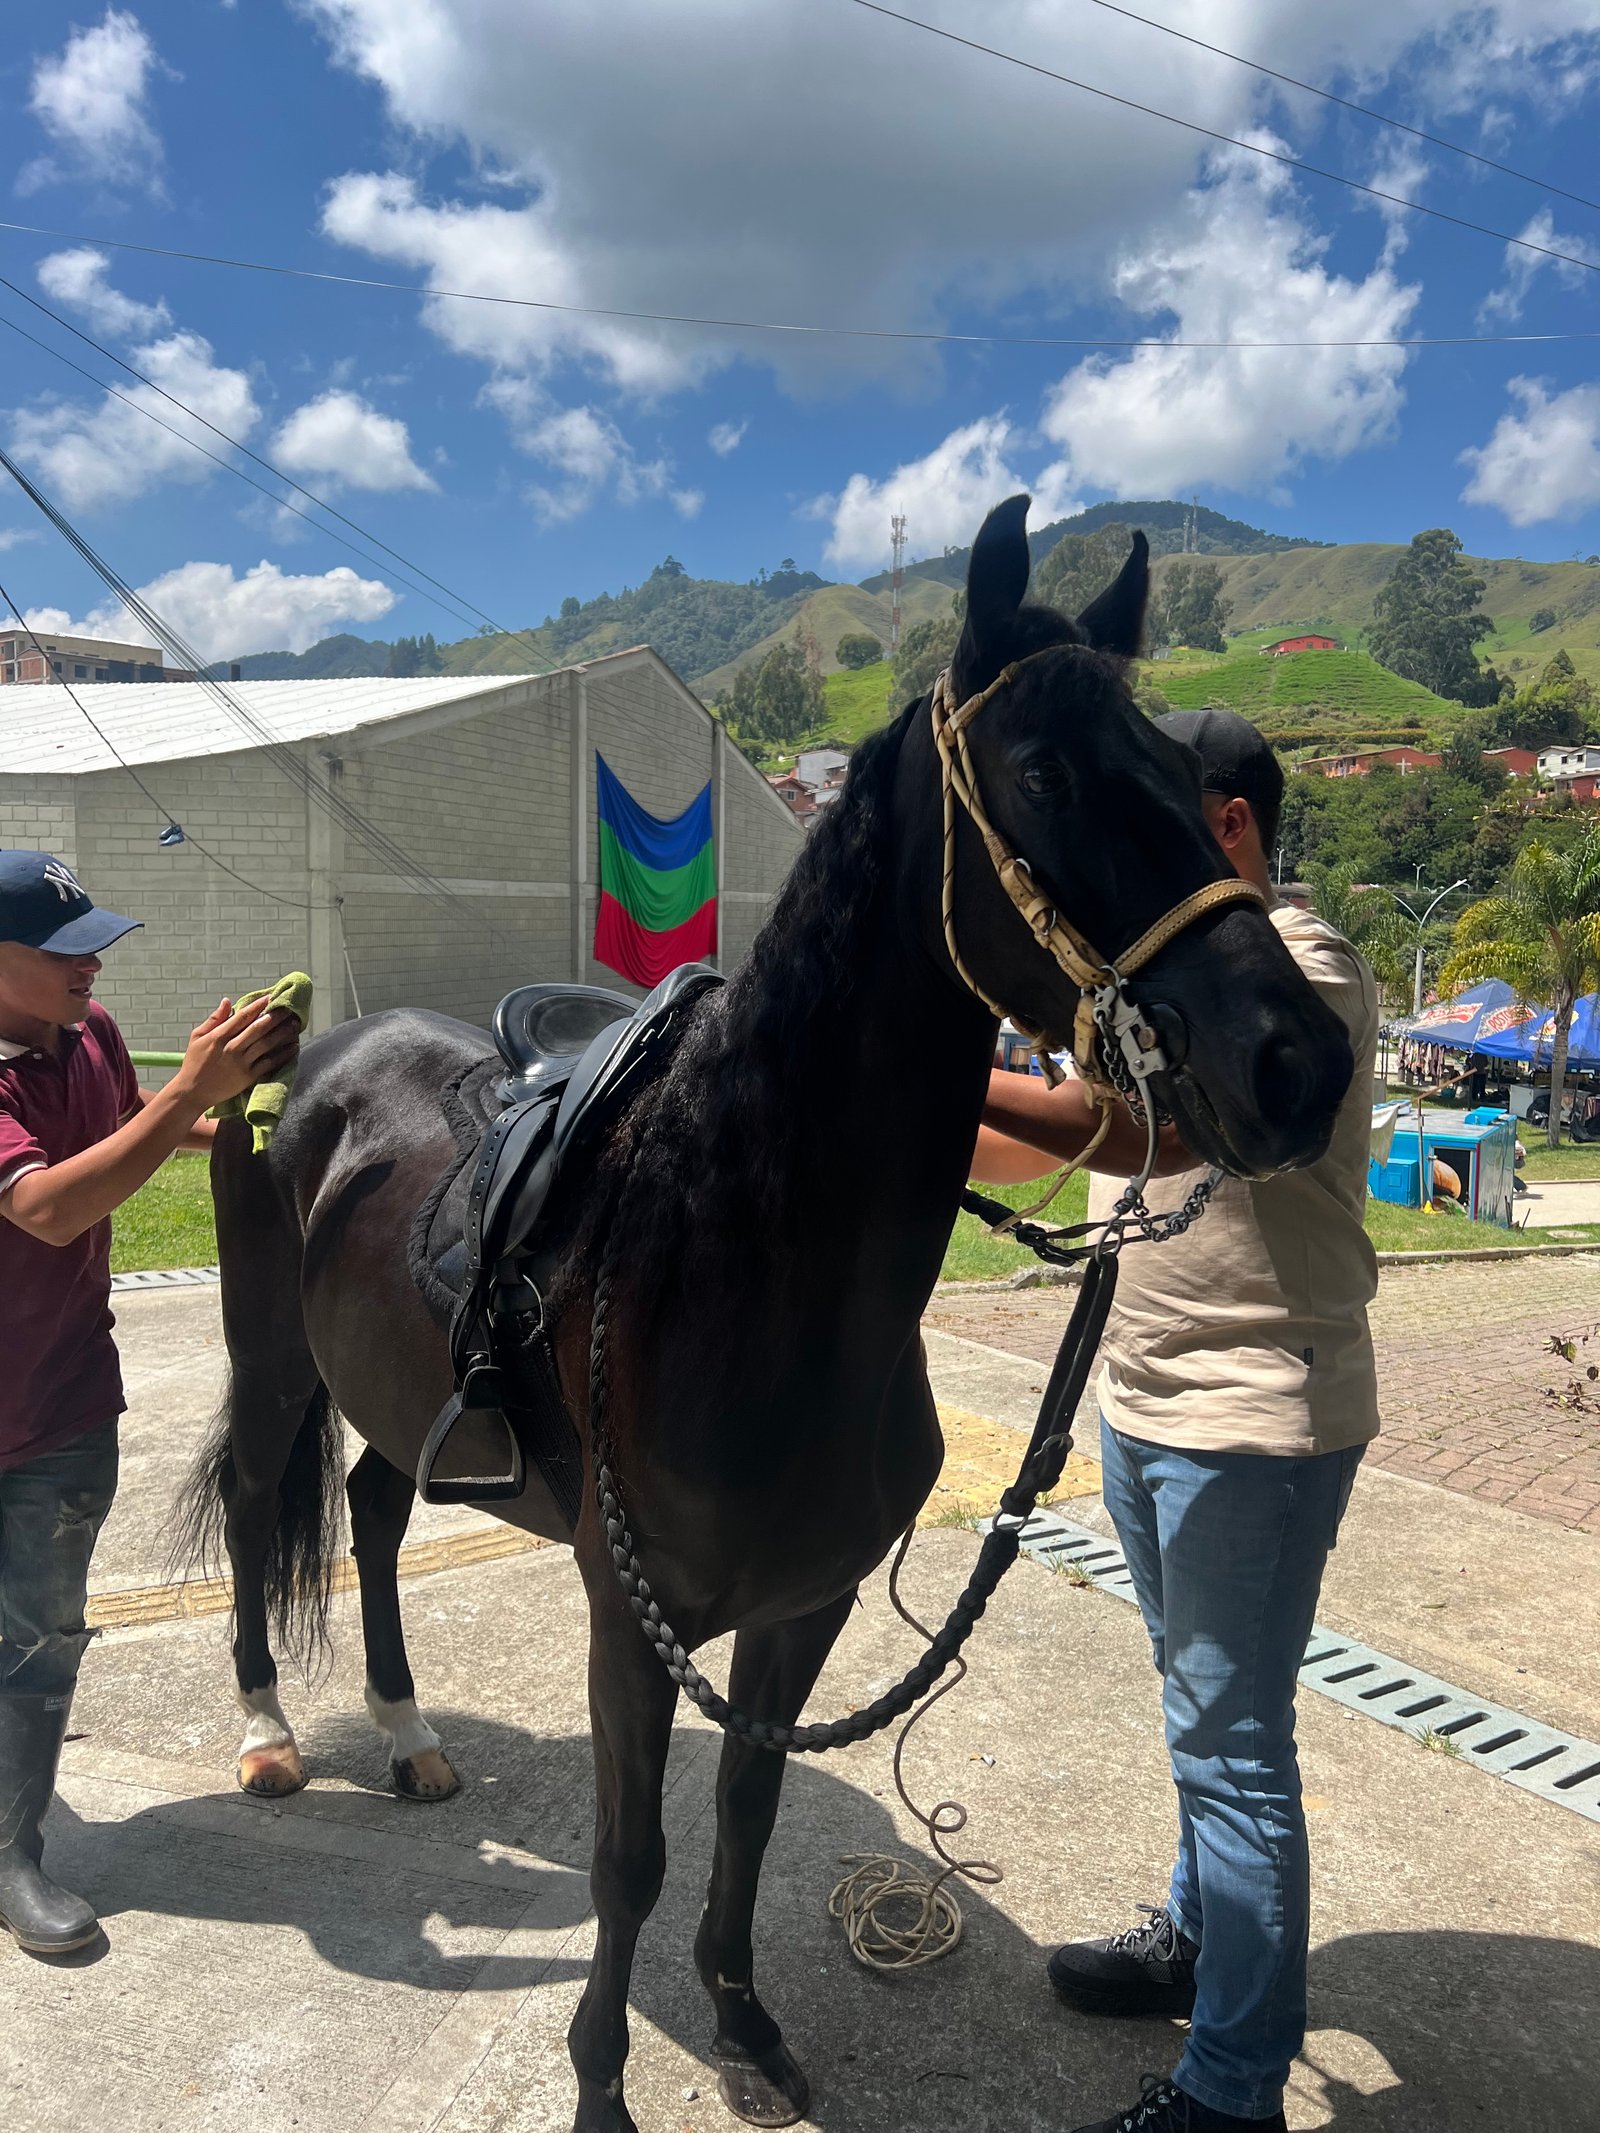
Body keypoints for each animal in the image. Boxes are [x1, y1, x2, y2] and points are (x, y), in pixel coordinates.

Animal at [178, 499, 1356, 2133]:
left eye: (1191, 785)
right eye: (1047, 774)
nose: (1300, 1061)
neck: (747, 1272)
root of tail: (307, 1050)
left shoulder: (805, 1605)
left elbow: (746, 1803)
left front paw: (742, 2018)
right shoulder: (632, 1616)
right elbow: (631, 1857)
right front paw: (602, 2087)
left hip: (403, 1403)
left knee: (371, 1505)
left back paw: (410, 1736)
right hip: (276, 1356)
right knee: (255, 1501)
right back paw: (271, 1733)